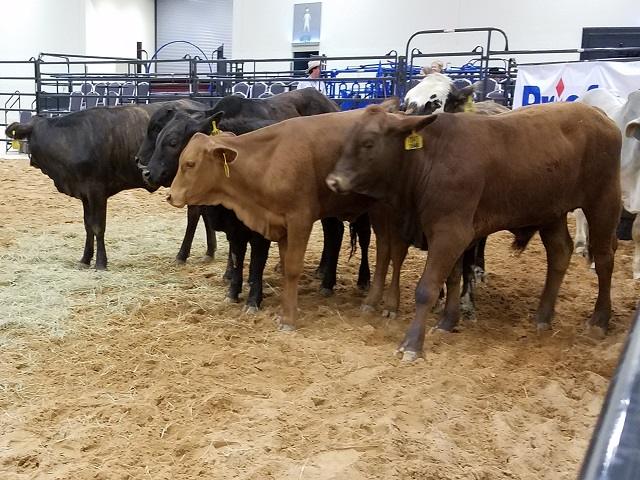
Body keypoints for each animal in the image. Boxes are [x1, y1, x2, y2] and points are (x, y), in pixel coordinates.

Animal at [4, 100, 217, 270]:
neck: (70, 140)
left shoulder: (96, 190)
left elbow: (98, 226)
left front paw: (100, 262)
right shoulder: (84, 193)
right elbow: (88, 225)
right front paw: (85, 259)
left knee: (194, 215)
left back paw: (182, 255)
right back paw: (209, 251)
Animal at [137, 89, 371, 311]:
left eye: (173, 142)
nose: (147, 172)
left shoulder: (261, 225)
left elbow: (256, 261)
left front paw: (252, 299)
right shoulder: (234, 225)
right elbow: (236, 256)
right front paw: (232, 287)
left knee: (351, 235)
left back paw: (348, 281)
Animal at [326, 101, 621, 361]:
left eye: (368, 143)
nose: (333, 181)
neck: (430, 159)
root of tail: (597, 113)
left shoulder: (450, 233)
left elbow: (428, 288)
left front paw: (411, 345)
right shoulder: (455, 235)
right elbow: (453, 277)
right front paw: (447, 321)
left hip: (603, 201)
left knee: (604, 257)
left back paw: (599, 320)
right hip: (552, 212)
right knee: (560, 253)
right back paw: (543, 316)